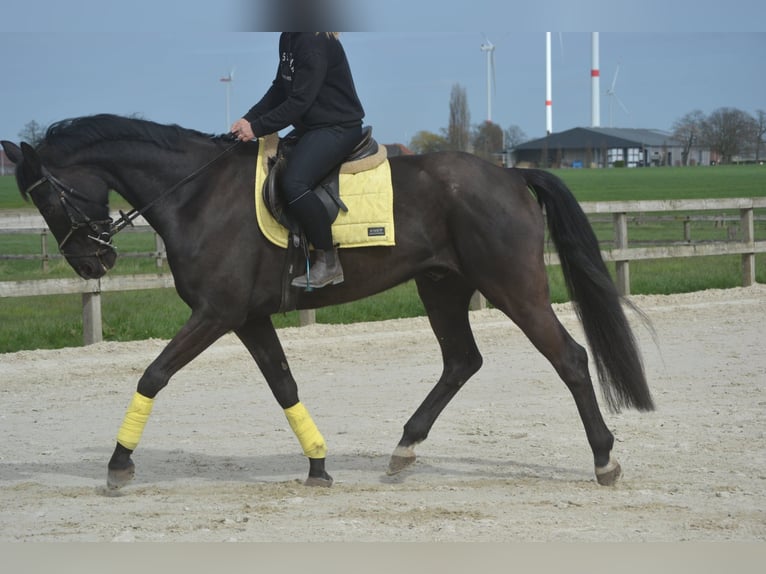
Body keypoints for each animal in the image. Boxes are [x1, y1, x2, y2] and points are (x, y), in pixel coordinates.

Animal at [1, 114, 653, 490]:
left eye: (46, 198)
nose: (93, 264)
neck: (197, 193)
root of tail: (512, 174)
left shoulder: (215, 314)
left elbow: (153, 374)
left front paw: (117, 464)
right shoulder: (248, 318)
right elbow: (283, 384)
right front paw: (317, 464)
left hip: (512, 286)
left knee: (569, 358)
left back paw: (603, 461)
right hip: (441, 285)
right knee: (461, 362)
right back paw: (403, 449)